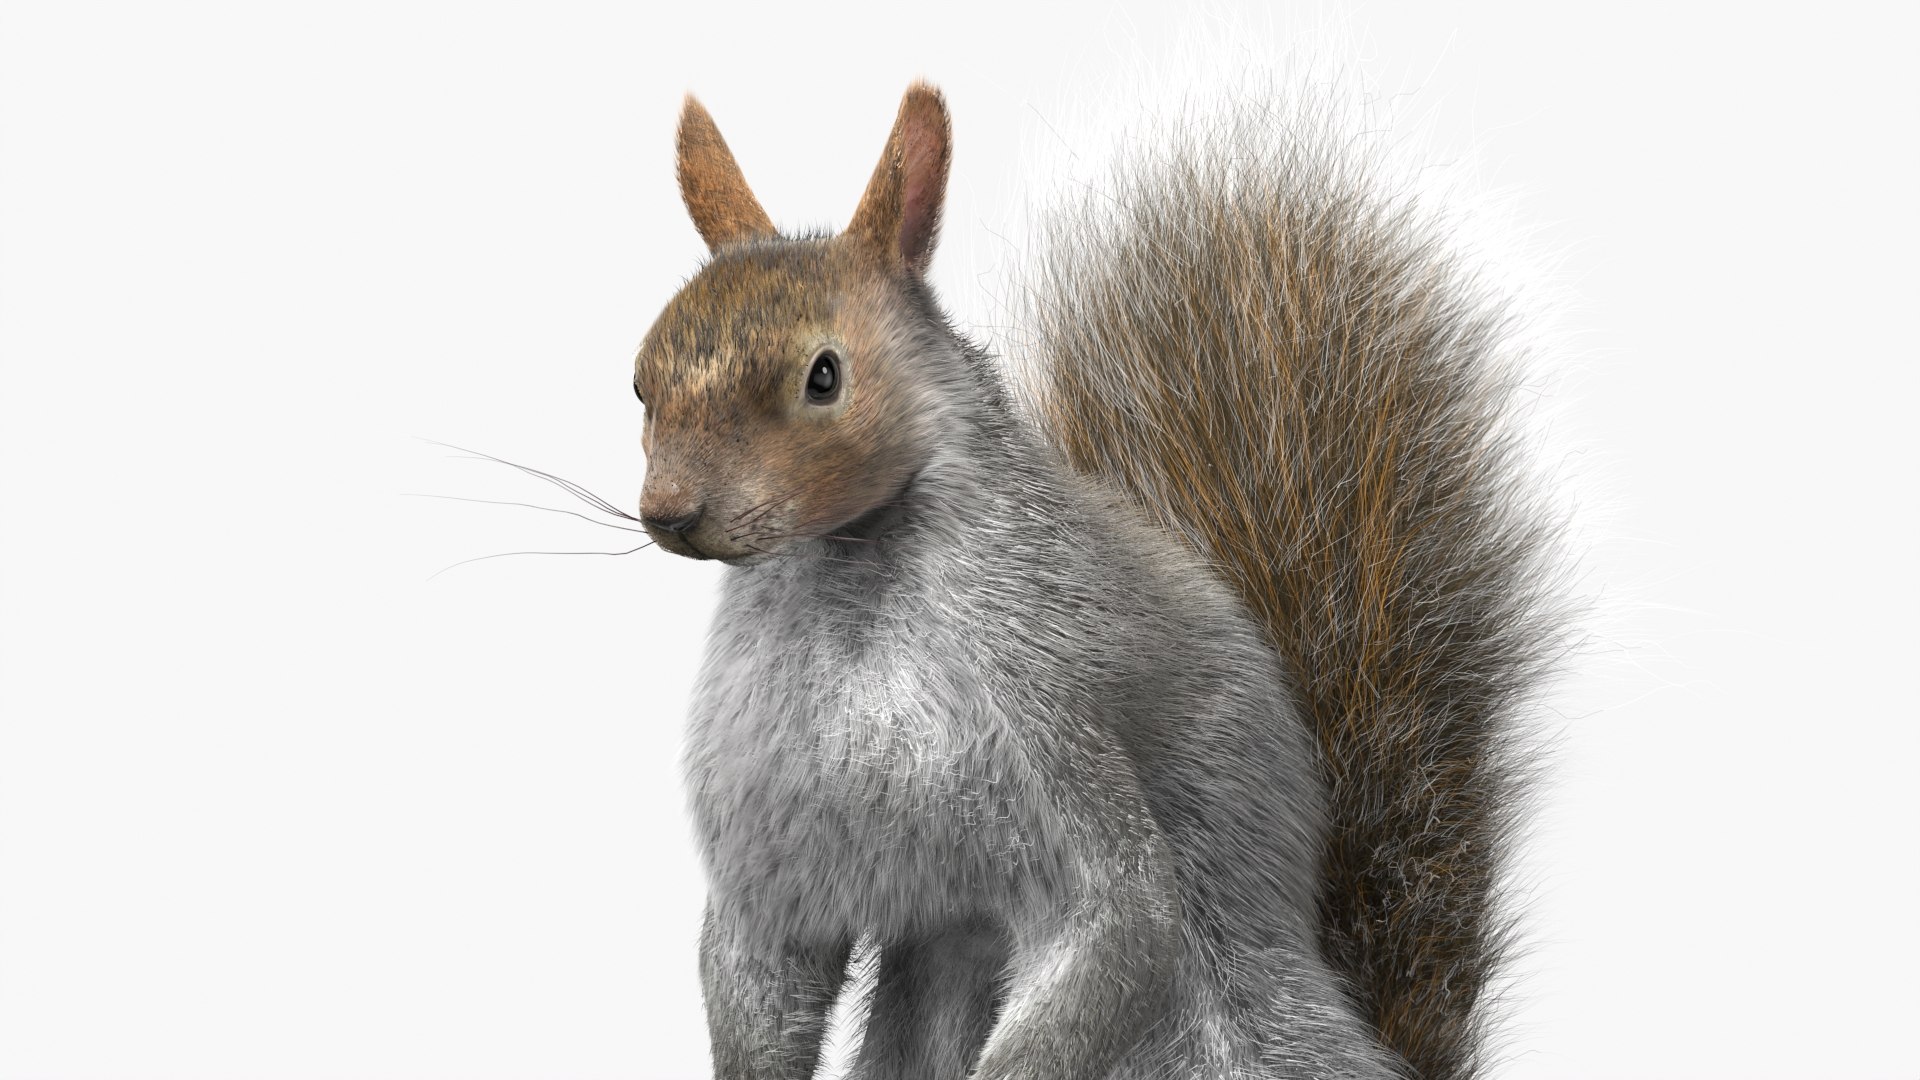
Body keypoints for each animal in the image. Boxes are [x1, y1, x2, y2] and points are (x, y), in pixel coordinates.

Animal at [630, 81, 1562, 1080]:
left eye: (824, 375)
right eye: (641, 383)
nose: (669, 512)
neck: (847, 601)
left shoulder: (1045, 728)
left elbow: (1118, 922)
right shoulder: (774, 846)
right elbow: (762, 974)